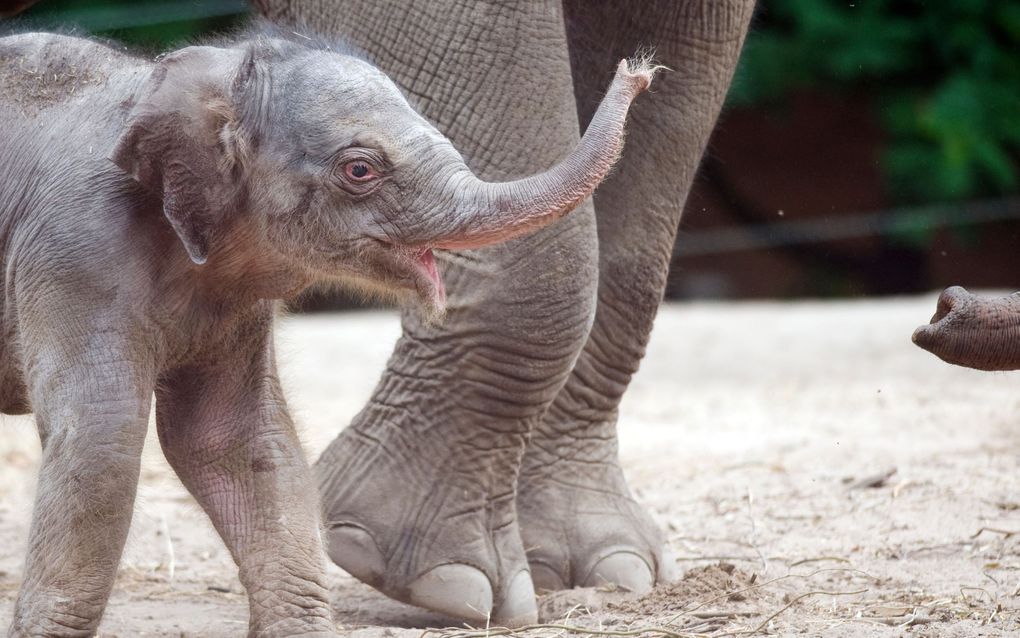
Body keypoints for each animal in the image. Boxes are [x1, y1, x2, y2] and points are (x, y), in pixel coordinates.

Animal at [0, 31, 652, 636]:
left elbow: (235, 440)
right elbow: (100, 439)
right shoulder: (76, 253)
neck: (199, 78)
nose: (639, 70)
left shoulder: (234, 304)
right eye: (359, 169)